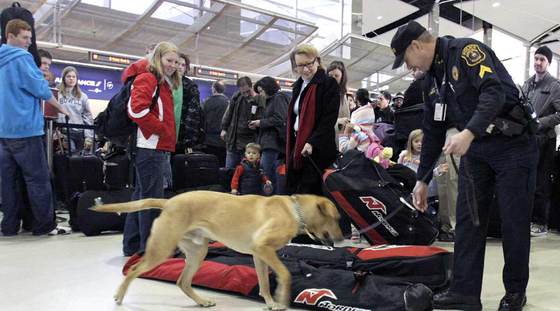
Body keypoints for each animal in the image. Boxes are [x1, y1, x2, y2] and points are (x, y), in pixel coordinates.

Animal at [93, 191, 342, 310]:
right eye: (337, 219)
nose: (341, 238)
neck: (295, 210)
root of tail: (169, 202)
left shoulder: (259, 255)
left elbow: (263, 284)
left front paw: (271, 303)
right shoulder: (262, 248)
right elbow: (285, 273)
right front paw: (282, 297)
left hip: (198, 252)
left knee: (182, 282)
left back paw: (202, 302)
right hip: (161, 249)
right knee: (134, 269)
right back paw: (119, 295)